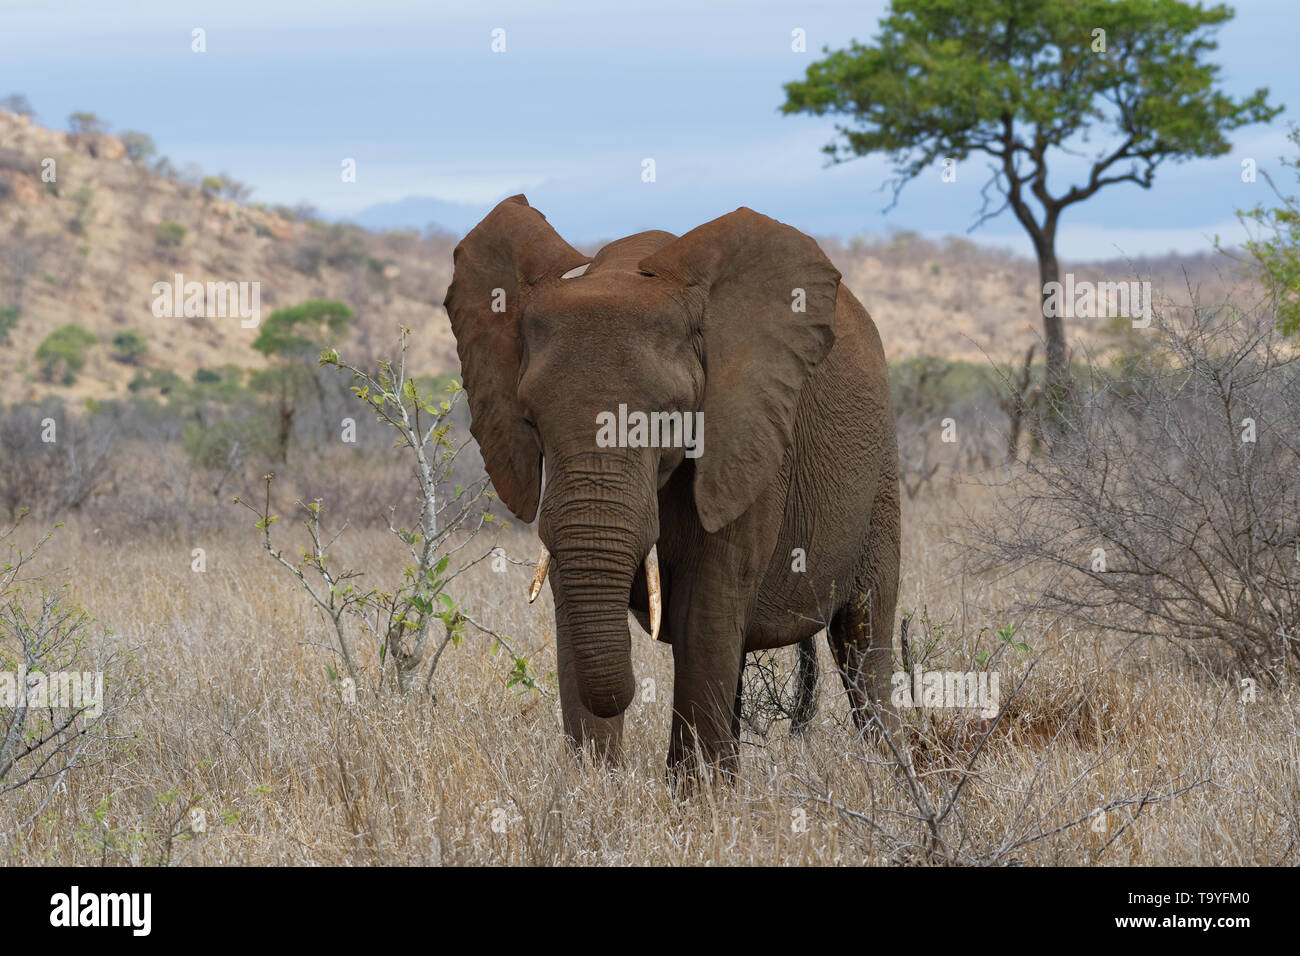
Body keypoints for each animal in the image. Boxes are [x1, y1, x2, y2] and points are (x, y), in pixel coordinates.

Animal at [441, 195, 899, 780]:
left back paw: (887, 774)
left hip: (881, 476)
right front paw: (596, 788)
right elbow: (573, 602)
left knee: (864, 639)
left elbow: (705, 612)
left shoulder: (747, 443)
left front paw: (696, 796)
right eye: (530, 419)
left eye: (672, 419)